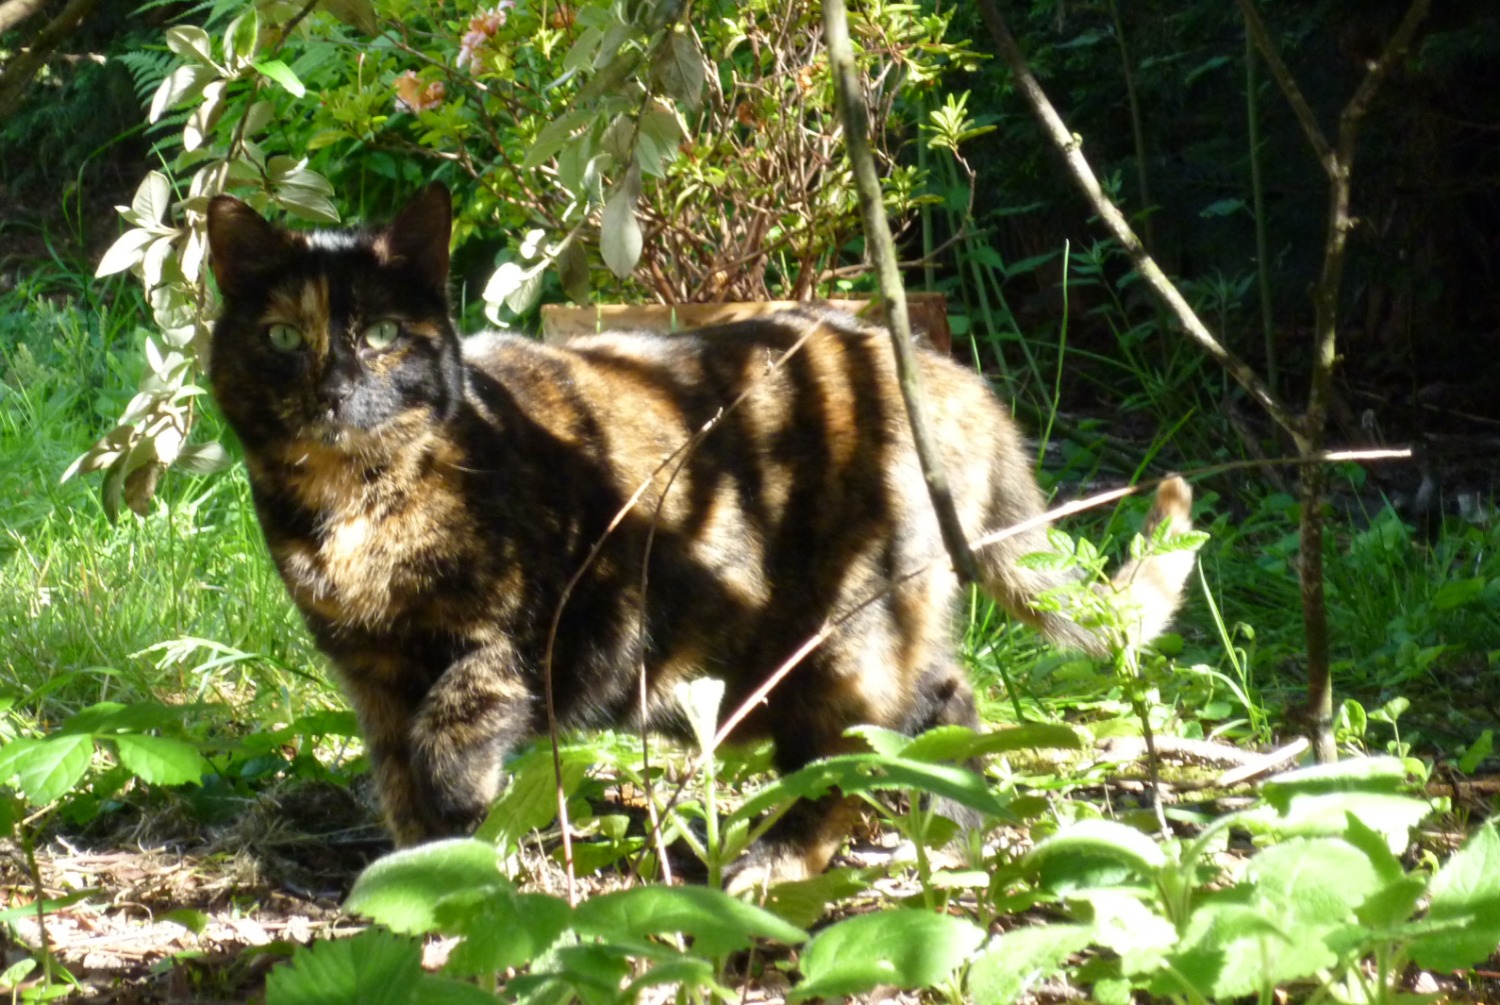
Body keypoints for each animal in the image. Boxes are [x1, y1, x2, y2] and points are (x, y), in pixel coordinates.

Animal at [205, 183, 1200, 888]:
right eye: (284, 336)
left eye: (380, 333)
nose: (334, 388)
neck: (356, 509)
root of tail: (942, 372)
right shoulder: (368, 668)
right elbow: (396, 775)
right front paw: (416, 877)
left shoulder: (517, 632)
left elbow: (451, 730)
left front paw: (460, 832)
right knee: (946, 700)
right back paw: (953, 827)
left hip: (835, 641)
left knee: (849, 751)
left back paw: (776, 862)